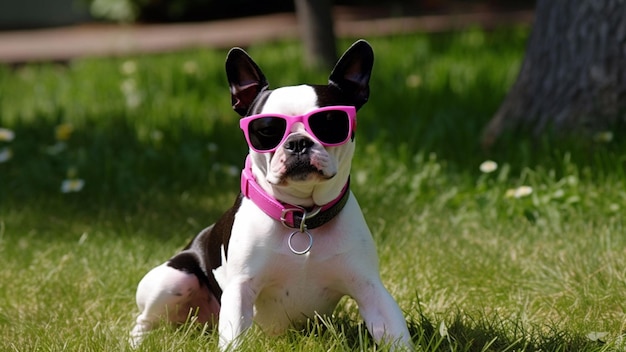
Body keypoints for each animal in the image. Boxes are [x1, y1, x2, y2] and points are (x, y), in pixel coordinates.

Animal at [129, 40, 412, 350]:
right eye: (266, 130)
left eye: (329, 122)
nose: (298, 142)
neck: (302, 217)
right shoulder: (240, 290)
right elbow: (233, 339)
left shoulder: (370, 288)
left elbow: (395, 332)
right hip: (174, 279)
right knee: (144, 319)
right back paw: (137, 342)